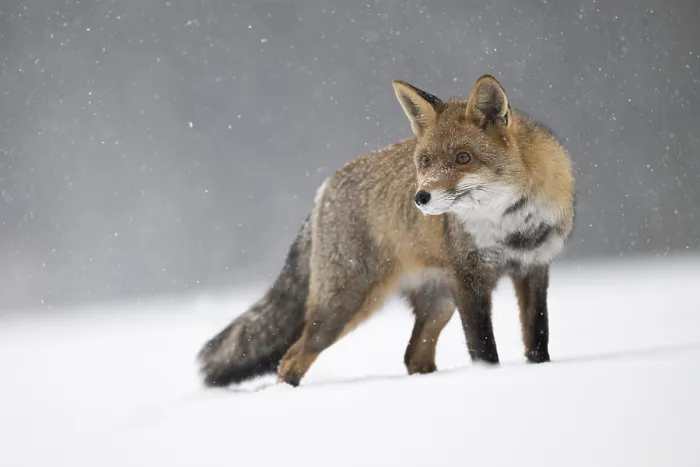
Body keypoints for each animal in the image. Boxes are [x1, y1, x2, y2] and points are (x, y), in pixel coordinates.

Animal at [197, 73, 576, 388]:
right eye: (425, 161)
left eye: (463, 158)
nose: (420, 198)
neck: (512, 226)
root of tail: (323, 189)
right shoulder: (471, 279)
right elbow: (483, 348)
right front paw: (490, 380)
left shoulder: (534, 268)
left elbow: (537, 338)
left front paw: (540, 372)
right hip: (347, 307)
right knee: (291, 358)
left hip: (439, 303)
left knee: (413, 356)